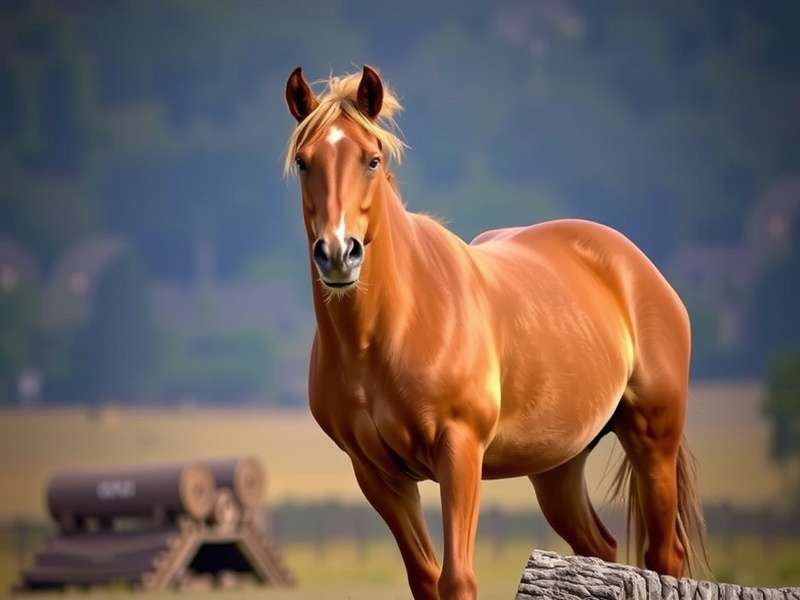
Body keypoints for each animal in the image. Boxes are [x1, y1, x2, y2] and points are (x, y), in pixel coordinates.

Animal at [283, 65, 708, 600]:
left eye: (372, 160)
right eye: (304, 162)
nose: (339, 254)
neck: (395, 328)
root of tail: (638, 268)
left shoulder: (461, 453)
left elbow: (457, 579)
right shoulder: (378, 475)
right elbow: (426, 579)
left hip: (653, 440)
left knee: (663, 556)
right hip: (558, 466)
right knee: (599, 548)